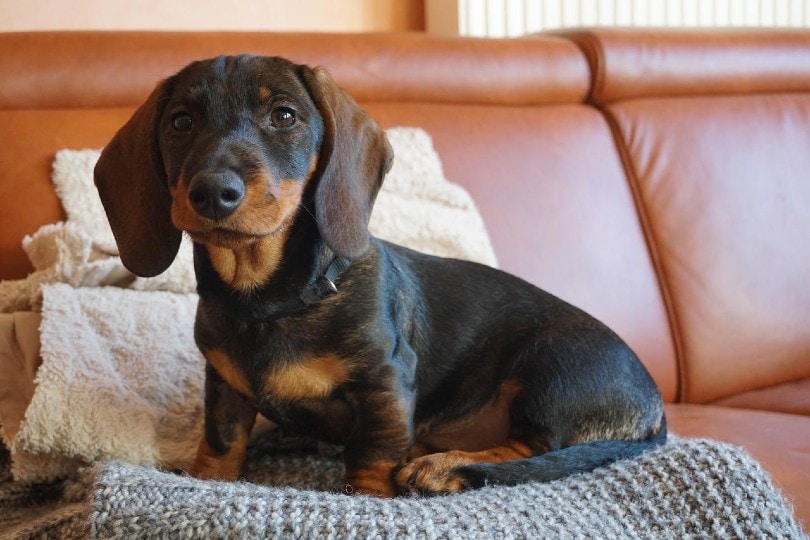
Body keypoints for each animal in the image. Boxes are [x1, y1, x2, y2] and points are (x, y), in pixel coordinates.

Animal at [94, 54, 664, 498]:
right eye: (180, 122)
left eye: (284, 115)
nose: (214, 192)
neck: (270, 301)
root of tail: (654, 407)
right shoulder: (223, 383)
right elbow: (222, 439)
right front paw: (204, 477)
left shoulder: (385, 380)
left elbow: (372, 452)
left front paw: (367, 492)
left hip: (551, 370)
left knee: (531, 450)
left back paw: (444, 467)